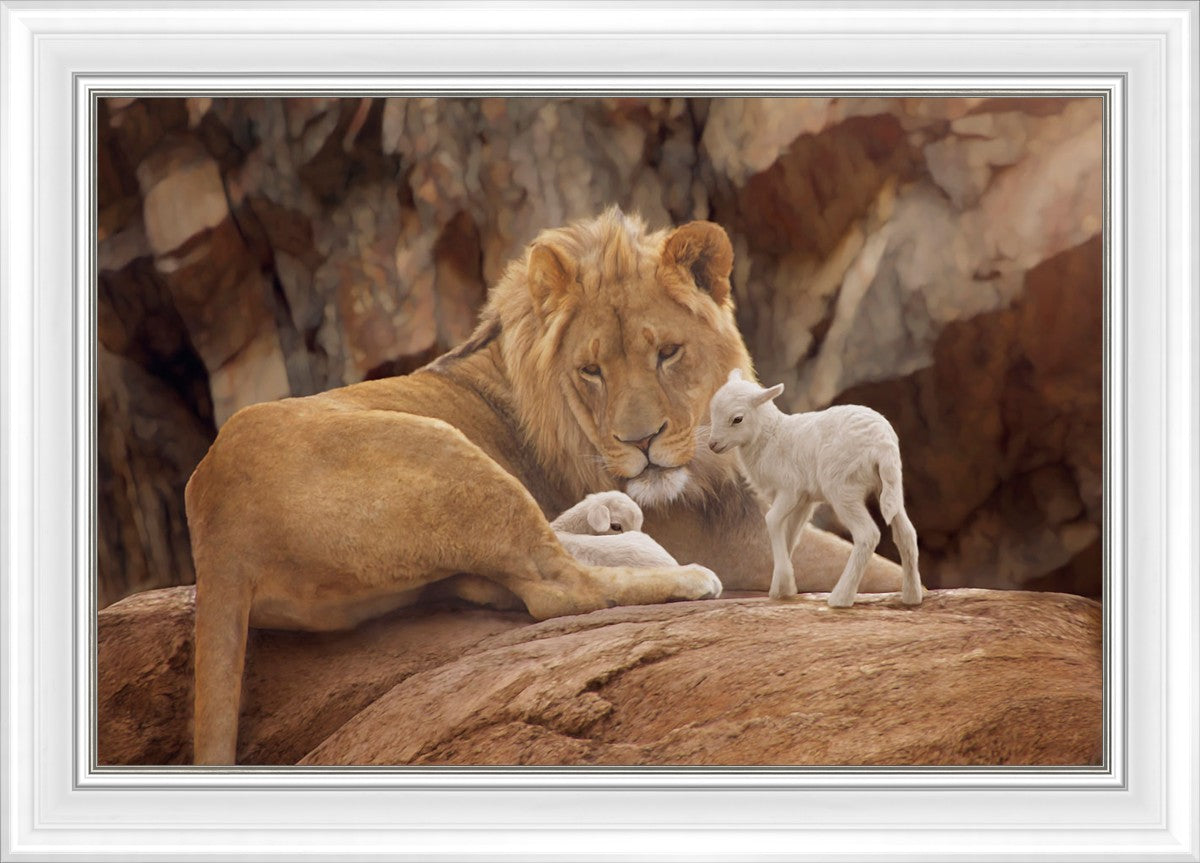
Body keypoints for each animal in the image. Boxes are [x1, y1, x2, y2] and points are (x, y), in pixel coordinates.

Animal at [707, 369, 922, 608]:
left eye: (737, 419)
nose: (712, 445)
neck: (771, 437)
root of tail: (882, 444)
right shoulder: (804, 500)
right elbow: (790, 534)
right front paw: (782, 587)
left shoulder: (790, 489)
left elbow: (772, 520)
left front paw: (783, 583)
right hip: (890, 485)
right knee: (906, 533)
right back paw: (912, 596)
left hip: (842, 487)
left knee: (867, 534)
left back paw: (840, 597)